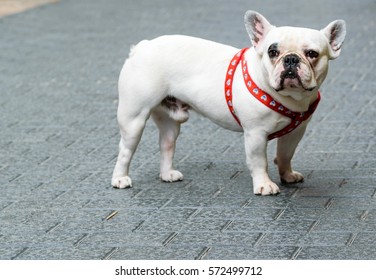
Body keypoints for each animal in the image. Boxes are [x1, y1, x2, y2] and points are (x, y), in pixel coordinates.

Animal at [110, 10, 346, 195]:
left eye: (312, 53)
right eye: (273, 52)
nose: (291, 59)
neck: (290, 98)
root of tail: (142, 47)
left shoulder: (295, 132)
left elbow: (285, 155)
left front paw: (287, 175)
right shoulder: (255, 134)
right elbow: (259, 161)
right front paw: (264, 185)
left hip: (170, 121)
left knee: (167, 143)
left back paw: (167, 174)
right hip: (134, 118)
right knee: (125, 149)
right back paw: (119, 178)